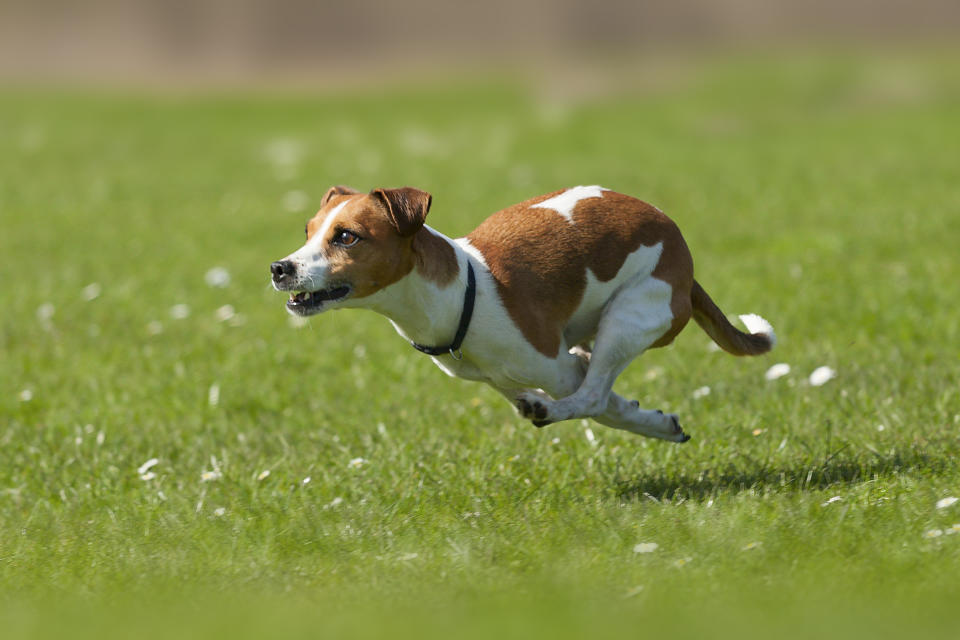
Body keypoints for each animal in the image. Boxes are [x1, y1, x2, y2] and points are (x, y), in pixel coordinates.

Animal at [268, 188, 772, 442]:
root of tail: (686, 266)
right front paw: (653, 420)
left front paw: (649, 422)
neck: (462, 292)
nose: (279, 268)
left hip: (628, 317)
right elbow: (609, 404)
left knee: (591, 397)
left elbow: (598, 401)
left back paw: (550, 408)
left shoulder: (560, 368)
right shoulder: (507, 375)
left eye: (346, 236)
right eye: (309, 231)